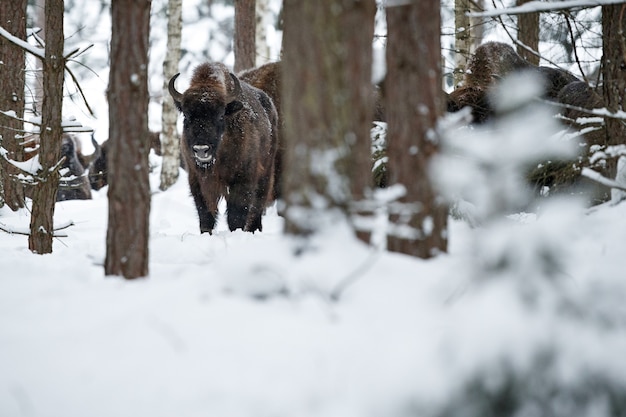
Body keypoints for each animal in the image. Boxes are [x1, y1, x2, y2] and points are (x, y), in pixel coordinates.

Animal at [167, 61, 276, 234]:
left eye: (219, 116)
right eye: (187, 116)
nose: (201, 149)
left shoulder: (243, 179)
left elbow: (236, 215)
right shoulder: (196, 180)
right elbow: (205, 214)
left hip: (266, 171)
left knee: (258, 204)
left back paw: (254, 229)